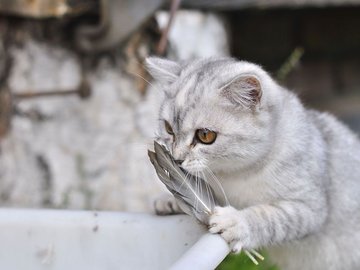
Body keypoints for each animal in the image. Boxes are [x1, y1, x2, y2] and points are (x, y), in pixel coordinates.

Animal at [145, 57, 360, 270]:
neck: (234, 174)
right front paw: (169, 199)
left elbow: (270, 218)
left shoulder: (310, 207)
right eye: (168, 128)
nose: (176, 159)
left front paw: (238, 223)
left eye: (205, 135)